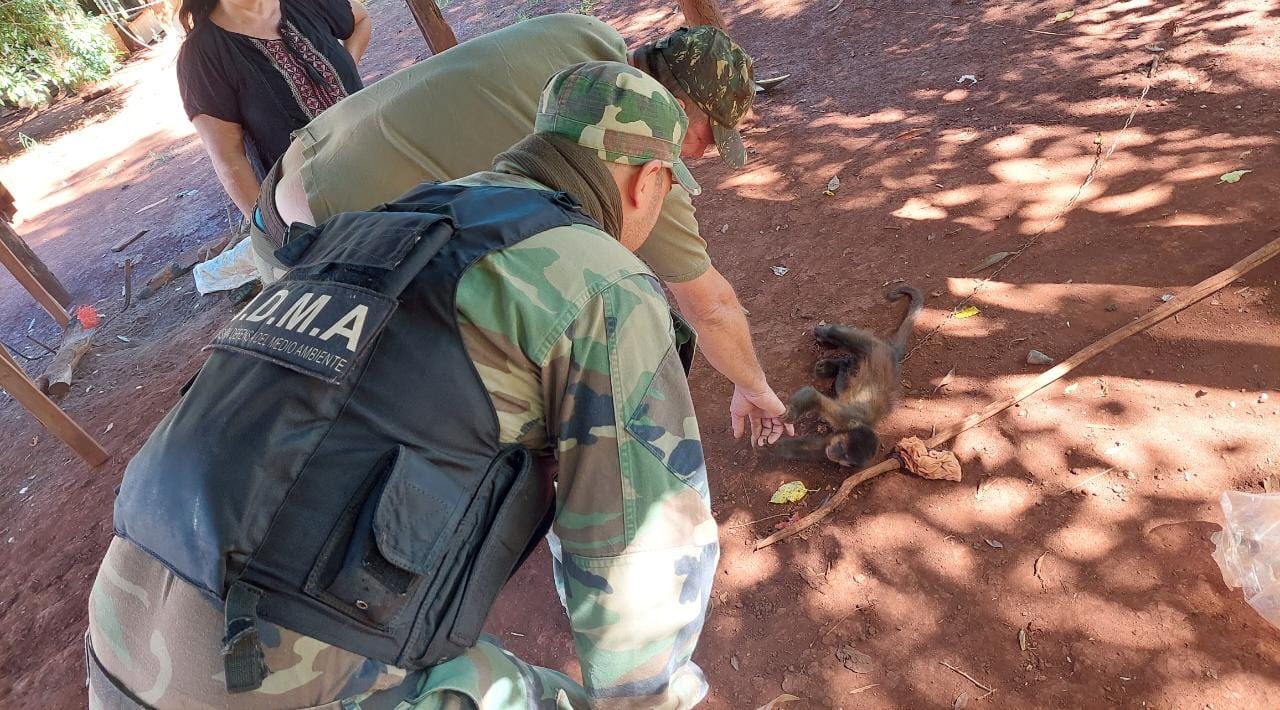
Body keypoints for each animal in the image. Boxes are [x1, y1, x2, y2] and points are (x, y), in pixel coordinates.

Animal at [768, 286, 921, 470]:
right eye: (841, 448)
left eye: (846, 459)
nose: (833, 455)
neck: (858, 424)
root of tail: (891, 355)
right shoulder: (844, 418)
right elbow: (811, 395)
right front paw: (791, 415)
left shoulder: (836, 435)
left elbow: (810, 448)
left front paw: (774, 447)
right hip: (874, 348)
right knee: (840, 336)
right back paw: (822, 333)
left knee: (847, 375)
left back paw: (836, 367)